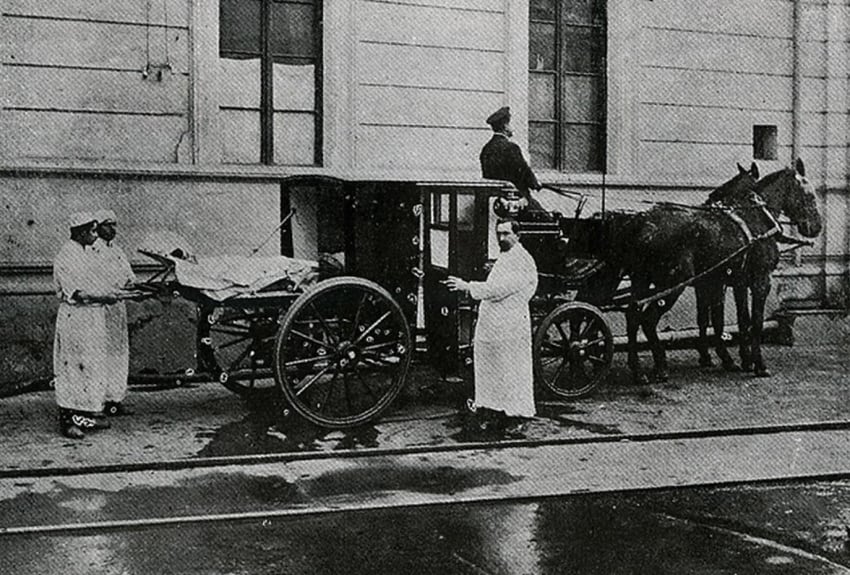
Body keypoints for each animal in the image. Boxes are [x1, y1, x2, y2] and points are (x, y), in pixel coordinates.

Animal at [696, 160, 820, 376]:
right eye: (809, 194)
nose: (817, 227)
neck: (756, 219)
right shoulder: (760, 281)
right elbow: (755, 320)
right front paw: (758, 363)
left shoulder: (737, 282)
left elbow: (741, 319)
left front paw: (745, 359)